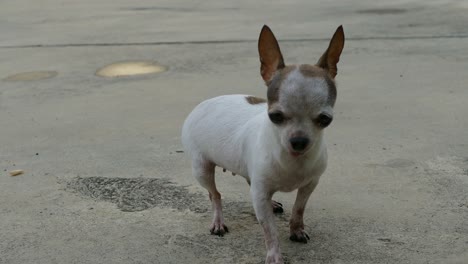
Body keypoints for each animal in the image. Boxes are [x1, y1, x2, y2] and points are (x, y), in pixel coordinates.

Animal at [182, 25, 344, 264]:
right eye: (275, 116)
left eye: (325, 119)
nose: (299, 141)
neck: (293, 161)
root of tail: (204, 102)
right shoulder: (260, 196)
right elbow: (270, 231)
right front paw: (274, 255)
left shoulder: (310, 184)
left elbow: (299, 209)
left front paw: (296, 229)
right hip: (201, 169)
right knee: (215, 195)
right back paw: (218, 221)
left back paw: (273, 203)